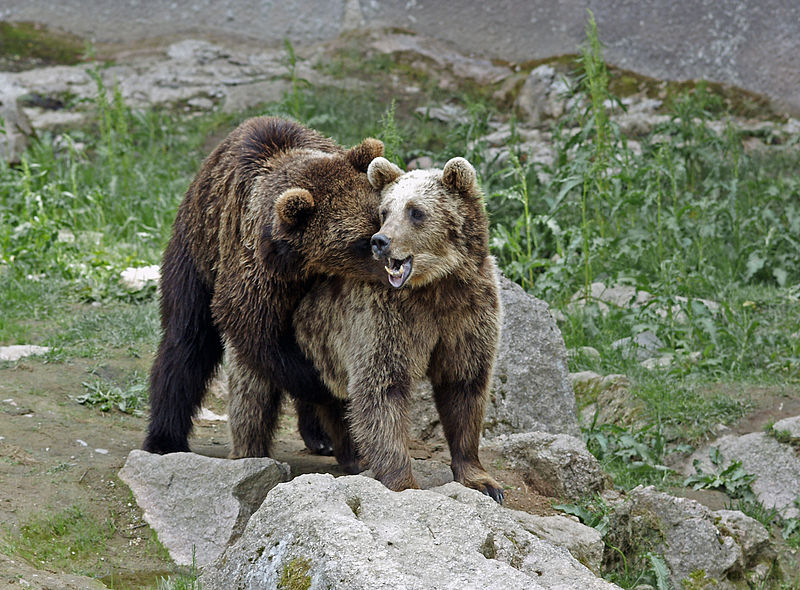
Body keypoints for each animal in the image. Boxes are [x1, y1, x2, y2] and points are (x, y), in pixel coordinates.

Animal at [145, 117, 386, 472]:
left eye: (382, 217)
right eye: (361, 241)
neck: (305, 265)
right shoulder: (257, 273)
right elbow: (260, 336)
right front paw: (330, 395)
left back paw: (320, 437)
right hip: (197, 251)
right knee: (186, 340)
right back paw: (163, 439)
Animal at [294, 155, 504, 502]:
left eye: (416, 211)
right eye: (384, 211)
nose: (380, 241)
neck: (436, 286)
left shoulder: (468, 313)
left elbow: (464, 384)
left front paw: (483, 480)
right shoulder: (387, 318)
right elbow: (382, 388)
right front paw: (403, 482)